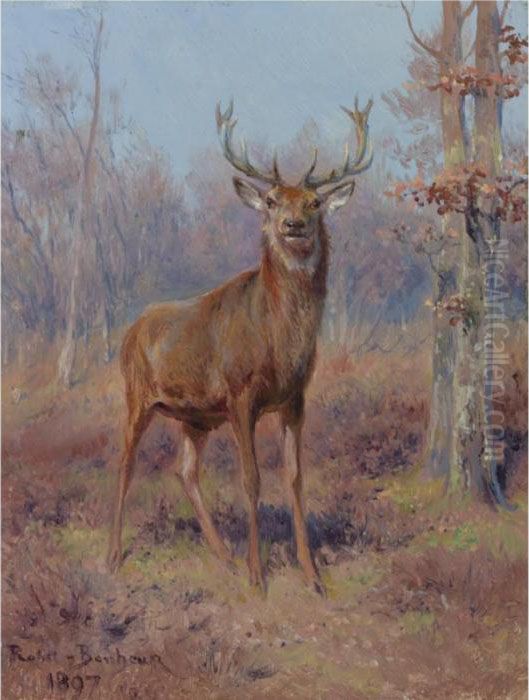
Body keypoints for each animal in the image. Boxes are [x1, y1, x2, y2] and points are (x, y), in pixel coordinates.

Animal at [107, 97, 374, 595]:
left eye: (314, 202)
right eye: (270, 200)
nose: (293, 224)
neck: (277, 341)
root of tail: (131, 331)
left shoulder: (295, 397)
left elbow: (294, 478)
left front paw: (312, 574)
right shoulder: (239, 392)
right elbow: (251, 480)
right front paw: (258, 575)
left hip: (193, 416)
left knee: (185, 471)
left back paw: (223, 556)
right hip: (137, 395)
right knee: (126, 462)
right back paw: (113, 556)